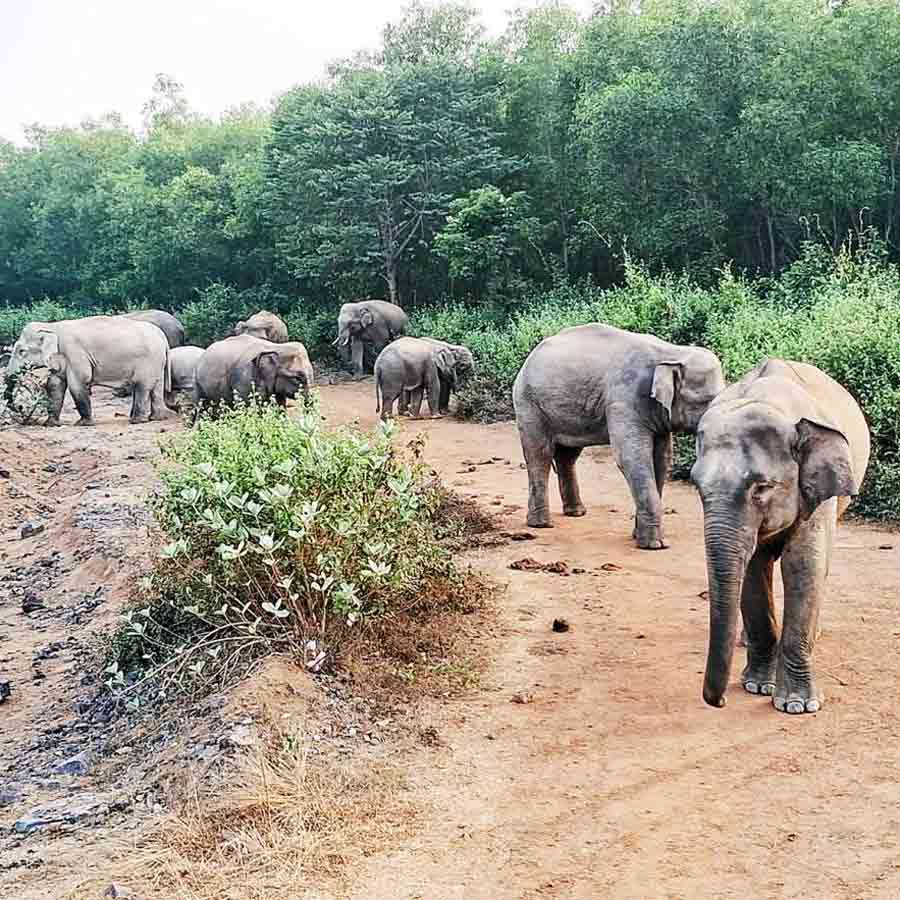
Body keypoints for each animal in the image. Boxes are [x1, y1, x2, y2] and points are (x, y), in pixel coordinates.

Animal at [6, 316, 171, 426]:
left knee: (142, 386)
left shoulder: (74, 353)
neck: (52, 327)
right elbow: (55, 385)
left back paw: (136, 421)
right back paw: (155, 418)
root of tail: (162, 337)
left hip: (148, 360)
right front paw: (50, 424)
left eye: (21, 351)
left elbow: (76, 384)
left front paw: (83, 423)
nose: (19, 408)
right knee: (157, 387)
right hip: (158, 362)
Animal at [513, 324, 726, 548]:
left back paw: (576, 513)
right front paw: (653, 545)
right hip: (528, 403)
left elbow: (661, 460)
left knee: (567, 456)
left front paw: (639, 536)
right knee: (540, 454)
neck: (672, 352)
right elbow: (632, 458)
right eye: (706, 401)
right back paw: (541, 524)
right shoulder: (623, 400)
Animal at [692, 358, 869, 715]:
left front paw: (797, 705)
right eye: (697, 487)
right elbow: (752, 568)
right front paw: (757, 686)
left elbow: (803, 565)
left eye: (761, 487)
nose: (721, 701)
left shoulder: (816, 491)